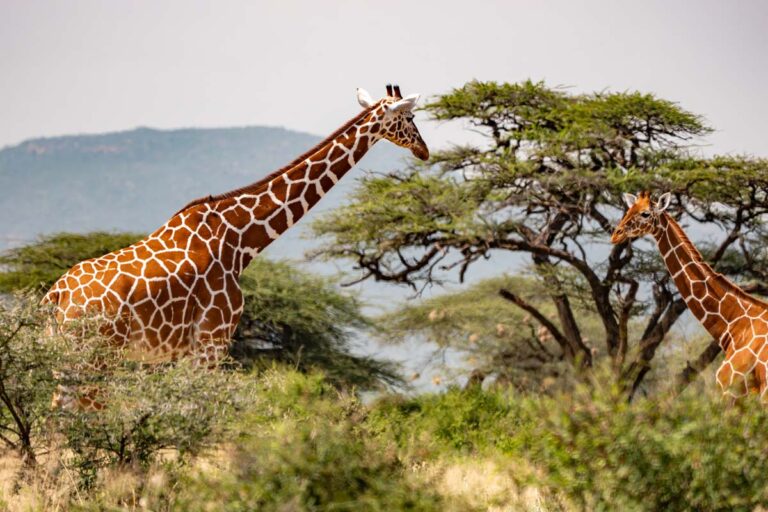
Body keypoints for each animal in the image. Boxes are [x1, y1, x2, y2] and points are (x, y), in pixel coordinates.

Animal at [43, 86, 426, 410]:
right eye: (410, 118)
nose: (424, 149)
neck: (239, 240)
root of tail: (56, 296)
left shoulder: (193, 350)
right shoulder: (211, 342)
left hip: (65, 359)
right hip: (96, 358)